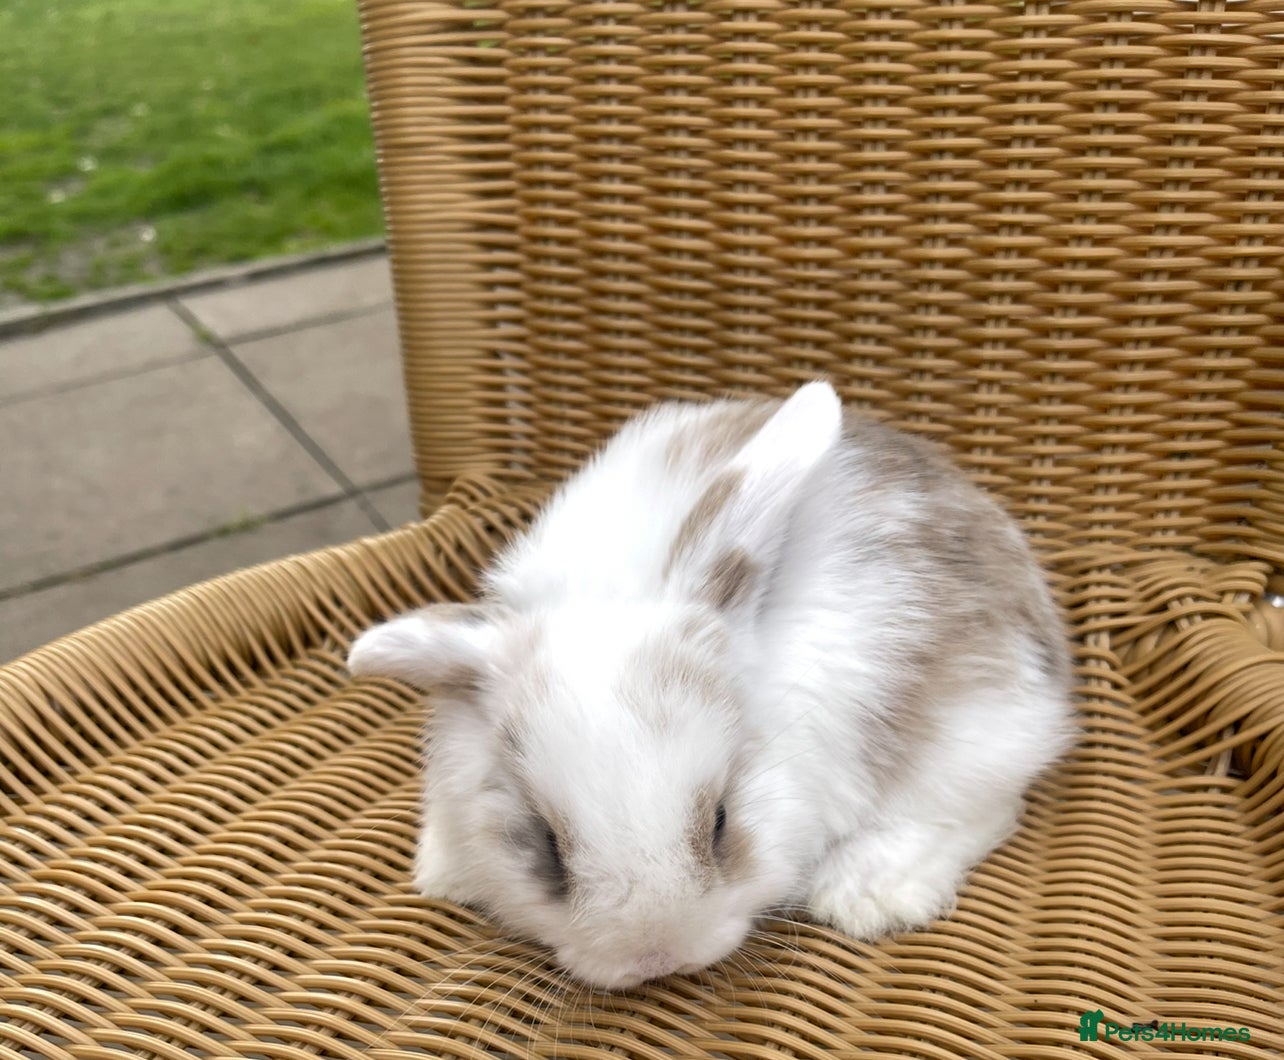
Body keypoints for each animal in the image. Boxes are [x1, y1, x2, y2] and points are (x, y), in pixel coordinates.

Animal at [347, 381, 1076, 991]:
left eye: (721, 821)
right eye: (548, 846)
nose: (658, 957)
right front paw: (443, 872)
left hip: (981, 729)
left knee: (985, 807)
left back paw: (864, 895)